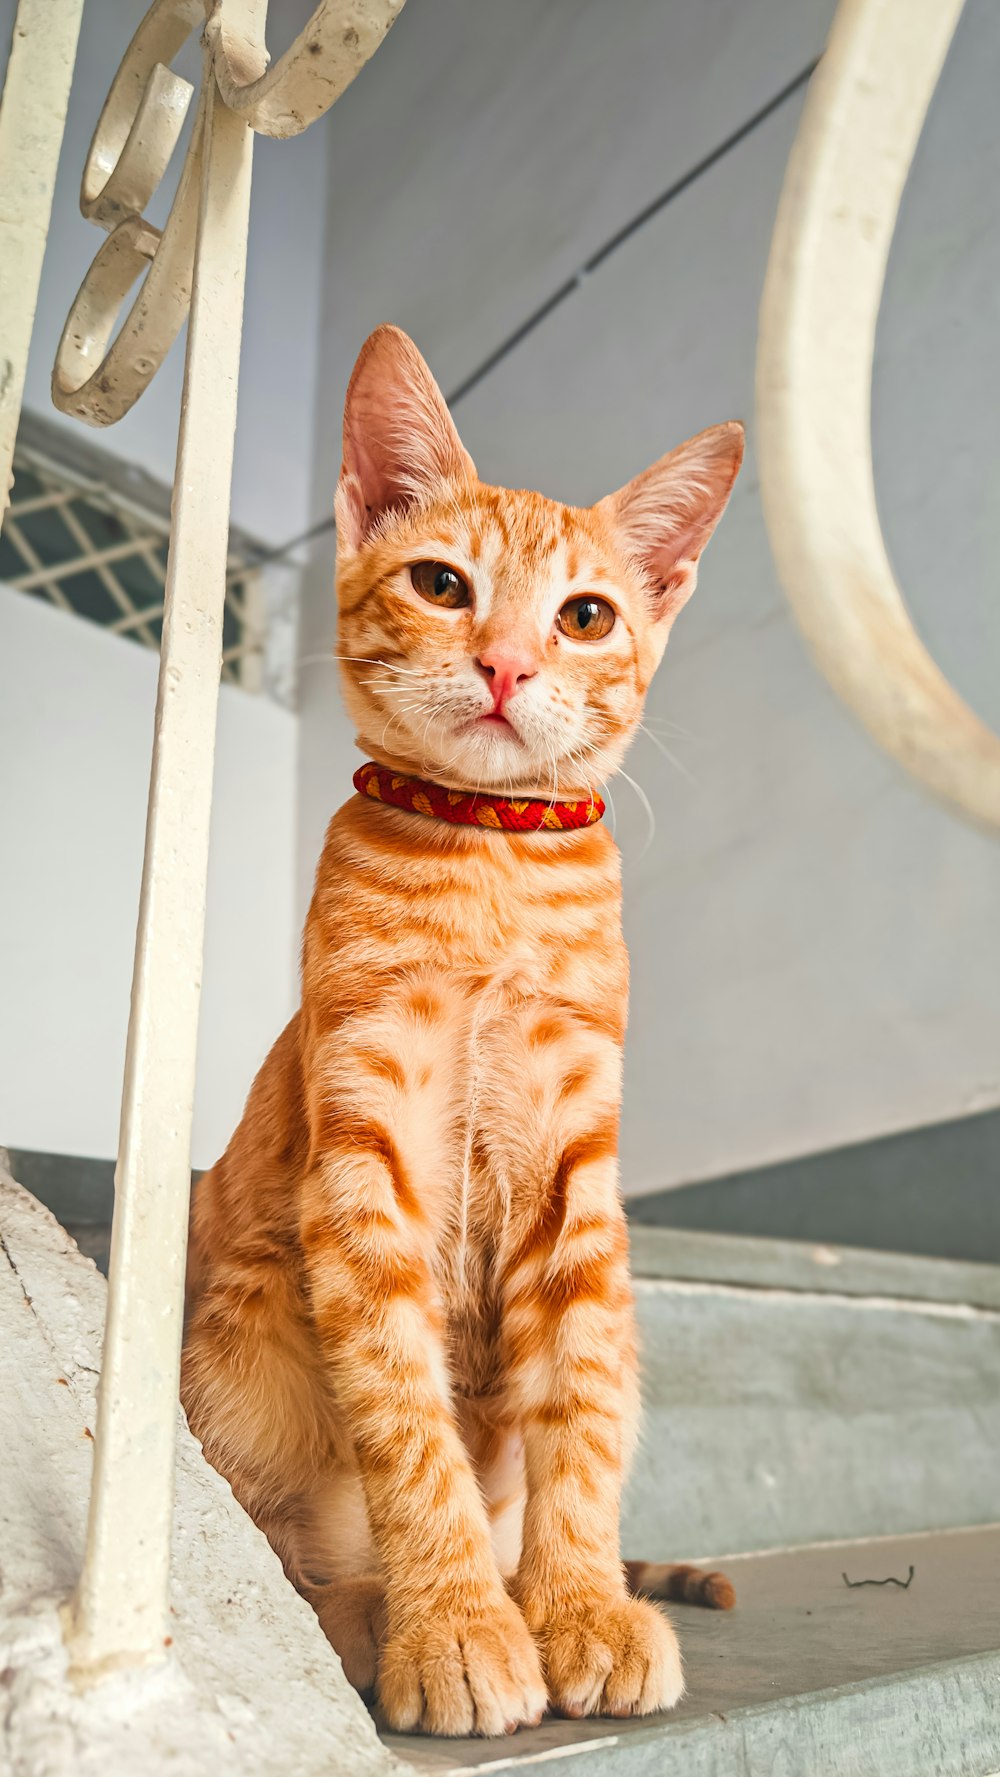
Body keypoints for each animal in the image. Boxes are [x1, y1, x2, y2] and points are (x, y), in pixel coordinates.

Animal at [182, 330, 742, 1734]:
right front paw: (453, 1624)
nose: (504, 666)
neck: (491, 857)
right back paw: (370, 1610)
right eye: (442, 586)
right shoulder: (362, 1157)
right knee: (278, 1557)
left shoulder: (579, 1179)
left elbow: (579, 1413)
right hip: (242, 1340)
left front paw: (578, 1603)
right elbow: (405, 1415)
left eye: (585, 615)